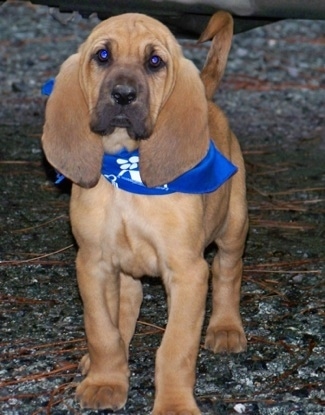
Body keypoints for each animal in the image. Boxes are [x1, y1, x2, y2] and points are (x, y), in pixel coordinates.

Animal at [41, 11, 247, 414]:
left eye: (154, 61)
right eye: (102, 55)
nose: (123, 95)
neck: (126, 170)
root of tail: (206, 96)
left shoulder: (188, 273)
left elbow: (175, 349)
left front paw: (174, 405)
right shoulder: (93, 265)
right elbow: (102, 330)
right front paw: (106, 380)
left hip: (234, 225)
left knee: (228, 272)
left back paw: (226, 328)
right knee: (127, 304)